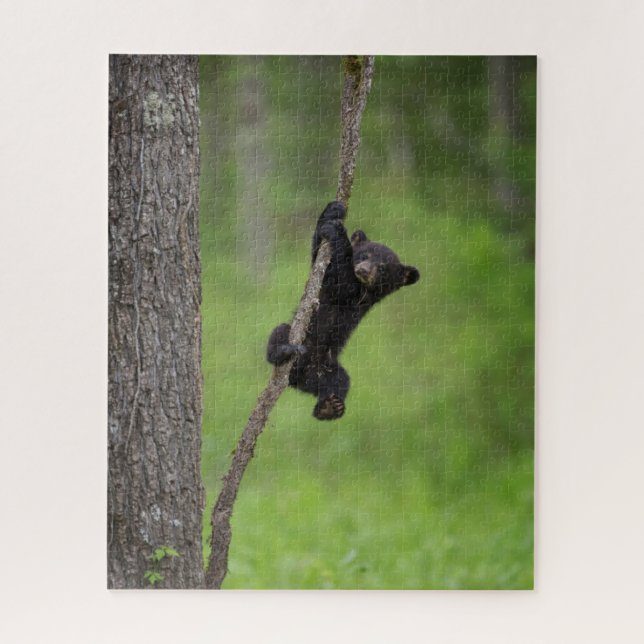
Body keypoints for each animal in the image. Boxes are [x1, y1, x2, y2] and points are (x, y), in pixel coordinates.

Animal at [267, 201, 420, 420]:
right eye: (364, 255)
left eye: (383, 267)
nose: (364, 270)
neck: (364, 286)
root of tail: (299, 378)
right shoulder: (326, 281)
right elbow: (318, 256)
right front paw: (332, 212)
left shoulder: (359, 297)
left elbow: (342, 280)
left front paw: (339, 232)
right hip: (299, 339)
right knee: (280, 332)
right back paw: (284, 350)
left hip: (329, 366)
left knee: (341, 381)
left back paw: (329, 407)